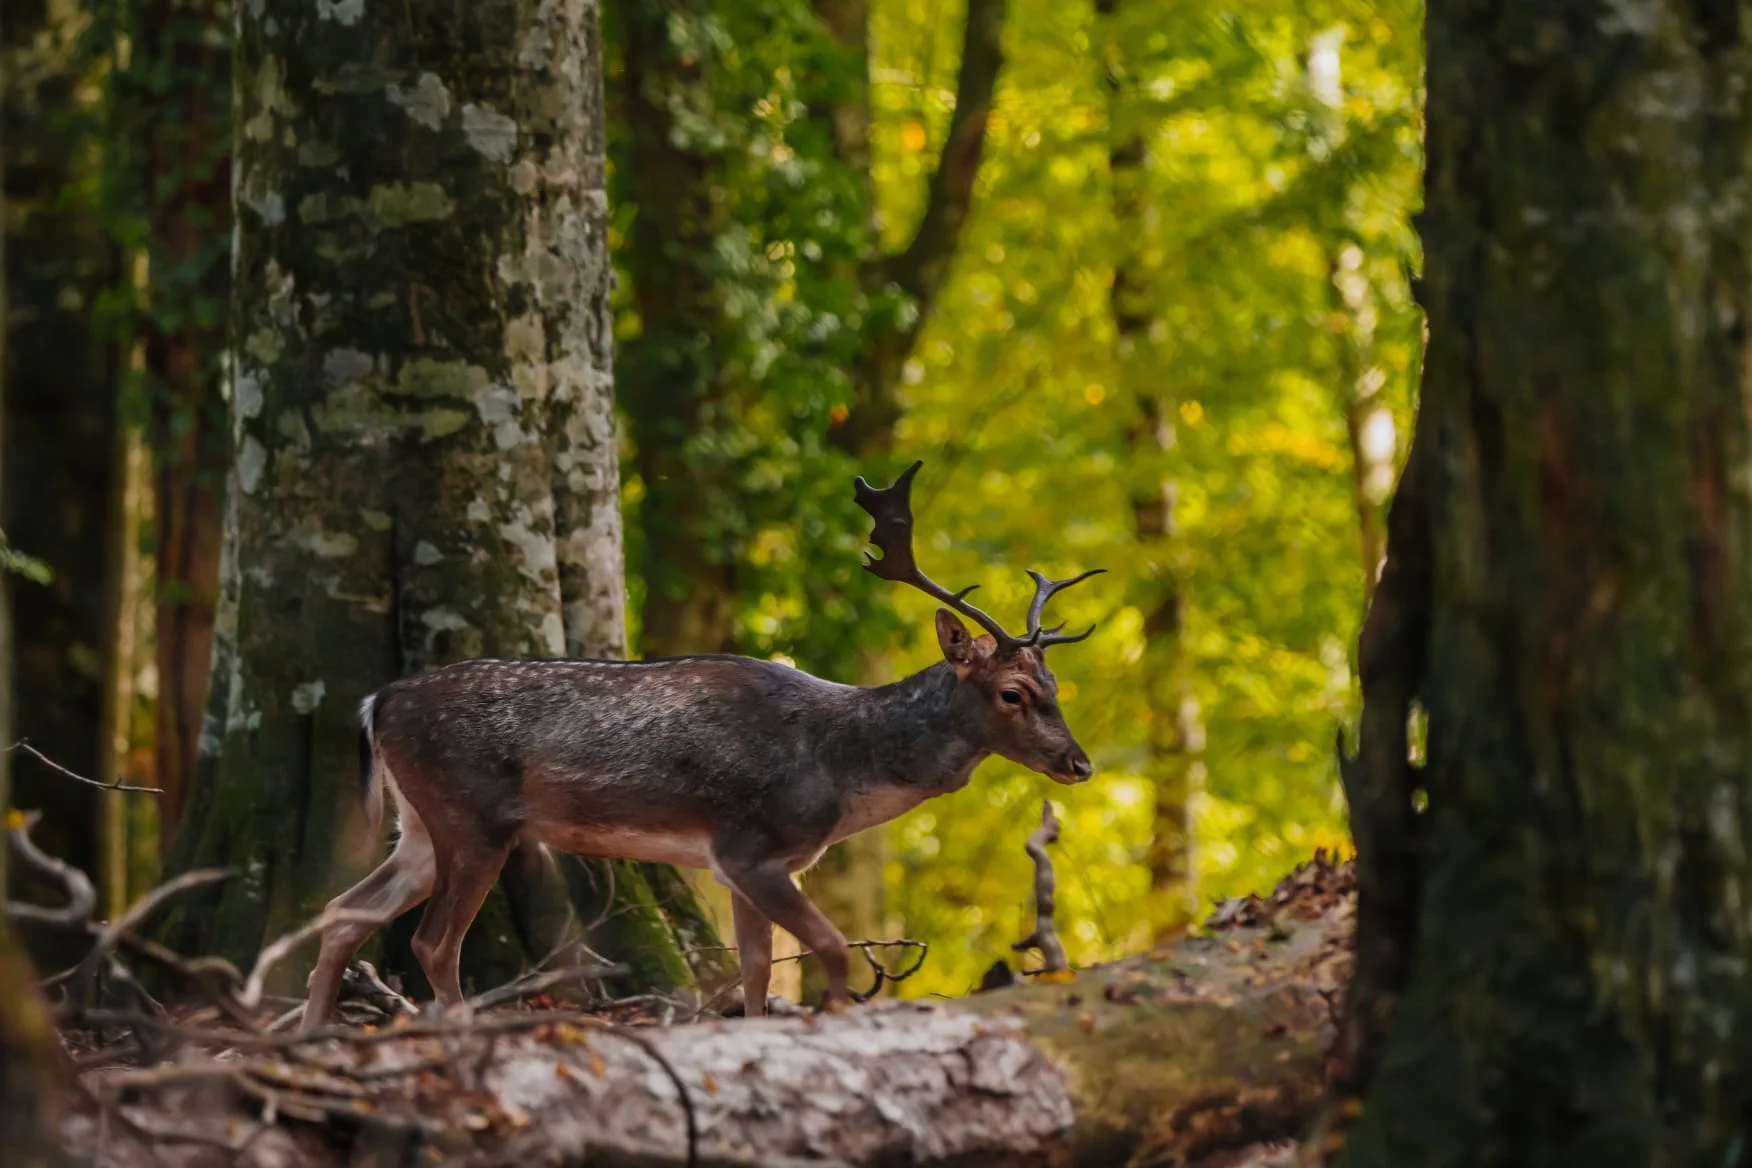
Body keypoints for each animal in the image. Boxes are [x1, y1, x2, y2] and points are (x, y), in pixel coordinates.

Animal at [299, 460, 1104, 1031]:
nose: (1080, 762)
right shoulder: (751, 846)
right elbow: (830, 947)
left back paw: (307, 1036)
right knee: (433, 942)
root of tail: (379, 700)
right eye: (1013, 692)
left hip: (419, 827)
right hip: (472, 815)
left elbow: (755, 974)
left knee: (344, 912)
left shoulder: (746, 866)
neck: (841, 767)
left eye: (1056, 681)